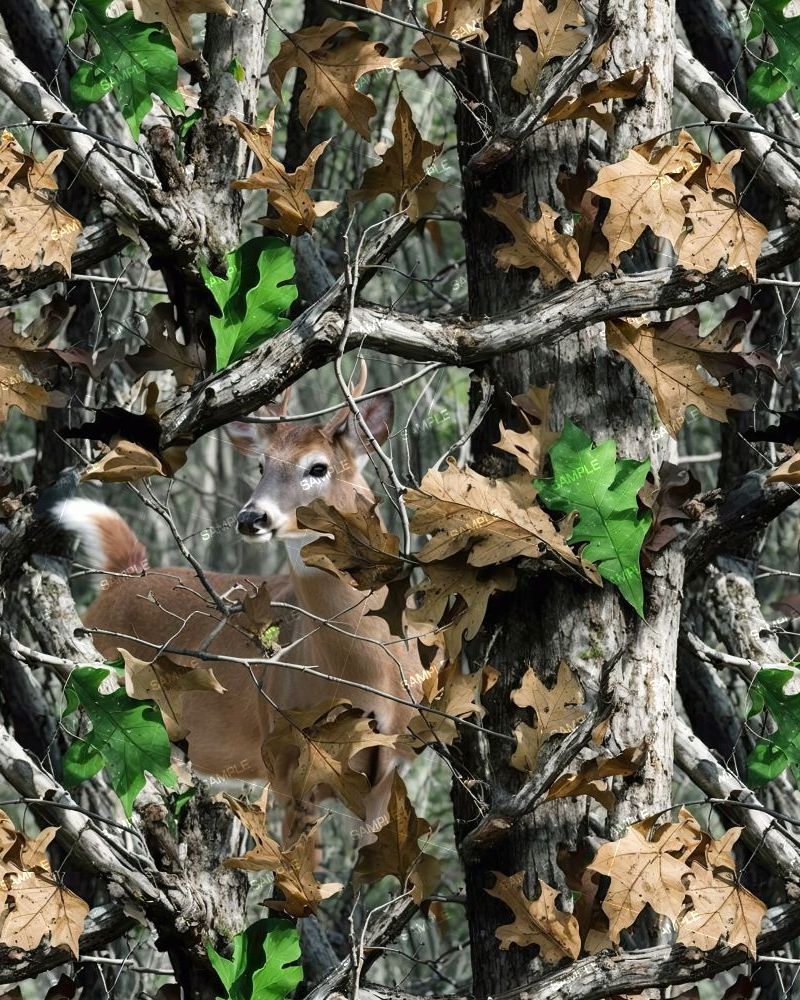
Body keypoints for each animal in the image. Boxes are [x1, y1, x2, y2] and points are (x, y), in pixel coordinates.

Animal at [54, 367, 426, 839]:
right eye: (262, 464)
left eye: (318, 467)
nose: (252, 518)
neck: (365, 672)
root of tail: (123, 575)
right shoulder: (285, 759)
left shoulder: (389, 769)